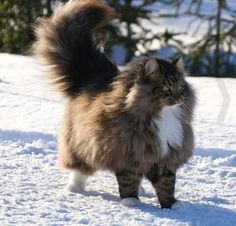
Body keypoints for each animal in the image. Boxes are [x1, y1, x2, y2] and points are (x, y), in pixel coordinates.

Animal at [32, 0, 195, 208]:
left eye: (181, 88)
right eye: (166, 89)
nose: (179, 99)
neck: (162, 116)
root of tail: (93, 76)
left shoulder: (164, 156)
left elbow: (166, 185)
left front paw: (172, 206)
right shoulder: (127, 153)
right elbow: (128, 181)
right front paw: (131, 202)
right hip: (81, 143)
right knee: (79, 168)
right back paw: (74, 189)